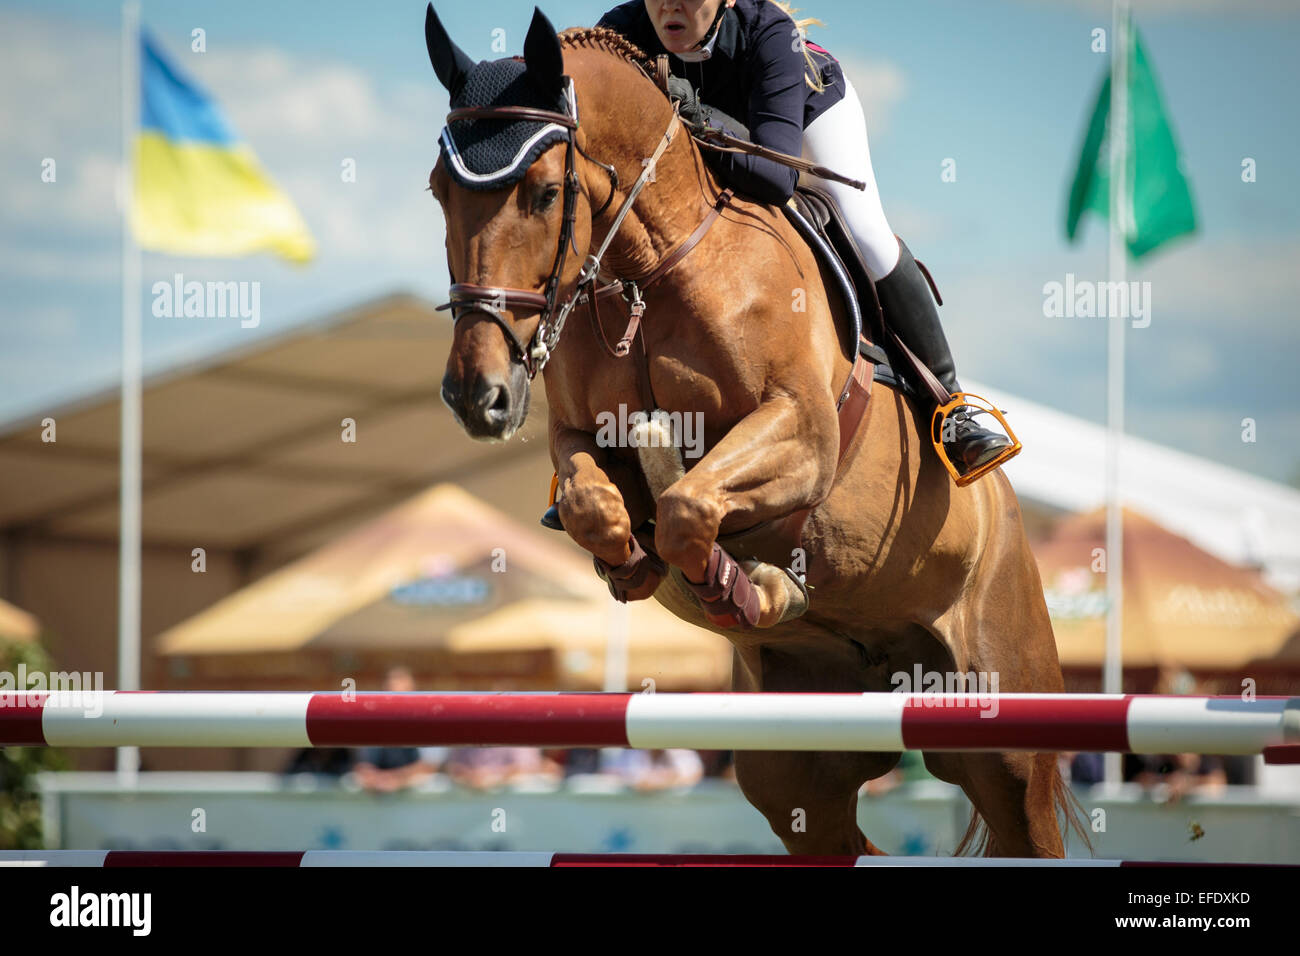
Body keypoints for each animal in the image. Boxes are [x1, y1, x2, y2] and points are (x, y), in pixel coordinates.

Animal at [421, 5, 1081, 858]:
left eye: (543, 192)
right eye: (439, 190)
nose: (479, 395)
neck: (650, 267)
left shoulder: (801, 435)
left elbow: (688, 506)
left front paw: (746, 584)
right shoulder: (577, 437)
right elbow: (598, 507)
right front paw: (641, 566)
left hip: (1007, 732)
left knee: (1021, 811)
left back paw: (967, 436)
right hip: (791, 769)